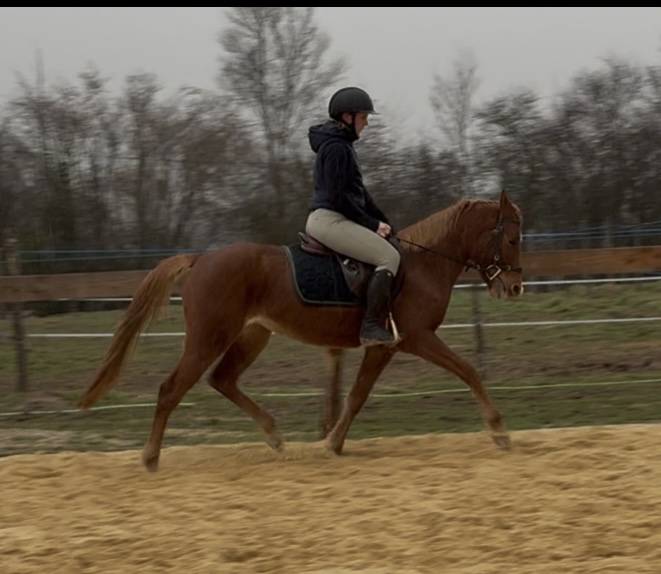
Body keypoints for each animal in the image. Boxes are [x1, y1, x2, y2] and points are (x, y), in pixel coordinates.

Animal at [79, 191, 523, 472]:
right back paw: (151, 458)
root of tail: (202, 258)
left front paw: (333, 443)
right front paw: (500, 432)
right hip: (208, 338)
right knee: (172, 389)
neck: (421, 265)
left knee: (223, 379)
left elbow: (357, 396)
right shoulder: (415, 338)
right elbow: (468, 370)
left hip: (252, 335)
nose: (515, 287)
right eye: (513, 238)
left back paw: (275, 438)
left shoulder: (383, 348)